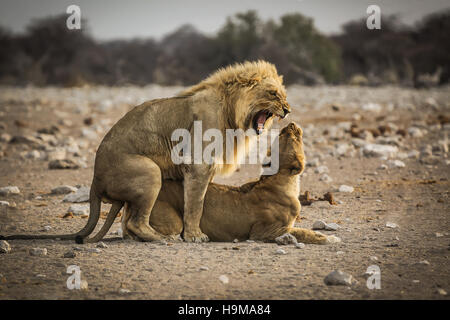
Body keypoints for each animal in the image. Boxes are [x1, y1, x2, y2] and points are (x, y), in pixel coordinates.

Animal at [1, 60, 290, 244]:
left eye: (285, 96)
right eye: (273, 94)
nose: (288, 110)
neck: (232, 112)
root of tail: (94, 180)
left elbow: (200, 201)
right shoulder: (198, 164)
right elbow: (195, 205)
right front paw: (195, 236)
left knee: (130, 218)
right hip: (149, 171)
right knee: (135, 220)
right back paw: (163, 239)